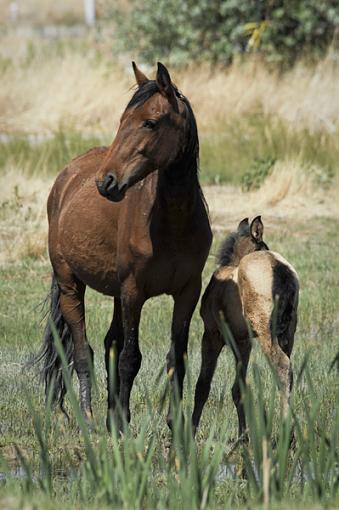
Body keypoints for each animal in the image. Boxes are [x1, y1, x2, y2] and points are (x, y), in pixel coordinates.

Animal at [37, 62, 212, 430]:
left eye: (150, 122)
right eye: (122, 120)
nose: (106, 182)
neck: (171, 223)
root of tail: (68, 176)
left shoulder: (188, 292)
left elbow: (176, 359)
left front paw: (175, 426)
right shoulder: (134, 291)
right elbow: (131, 358)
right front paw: (121, 428)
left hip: (116, 293)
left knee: (108, 345)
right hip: (71, 285)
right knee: (82, 351)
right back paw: (89, 418)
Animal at [193, 217, 298, 436]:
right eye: (264, 245)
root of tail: (278, 267)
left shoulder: (212, 335)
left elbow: (203, 385)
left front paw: (189, 430)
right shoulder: (244, 341)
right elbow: (238, 389)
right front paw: (243, 435)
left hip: (266, 332)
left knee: (282, 366)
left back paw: (287, 432)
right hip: (289, 332)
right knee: (288, 372)